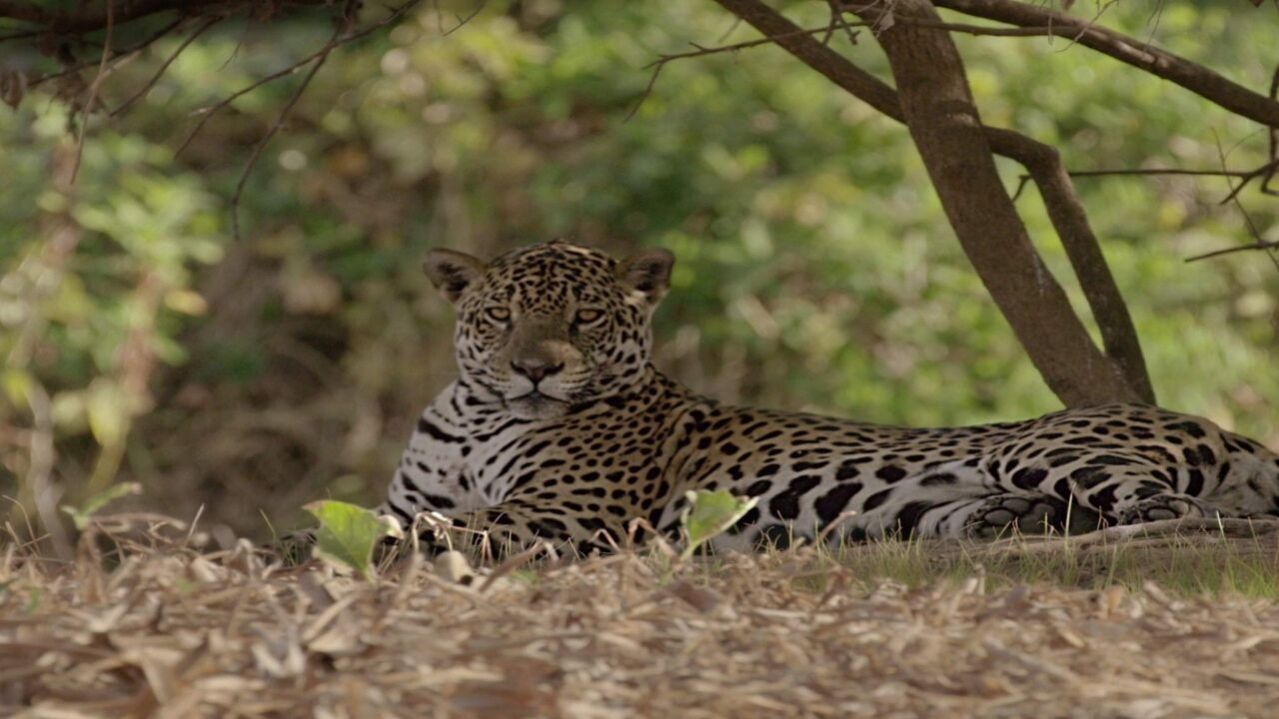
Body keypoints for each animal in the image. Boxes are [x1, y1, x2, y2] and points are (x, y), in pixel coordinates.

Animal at [355, 240, 1279, 556]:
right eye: (502, 316)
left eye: (583, 317)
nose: (534, 370)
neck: (477, 419)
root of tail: (1231, 431)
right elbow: (389, 517)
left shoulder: (569, 511)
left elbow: (439, 527)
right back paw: (1012, 520)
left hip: (1046, 445)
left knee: (1180, 512)